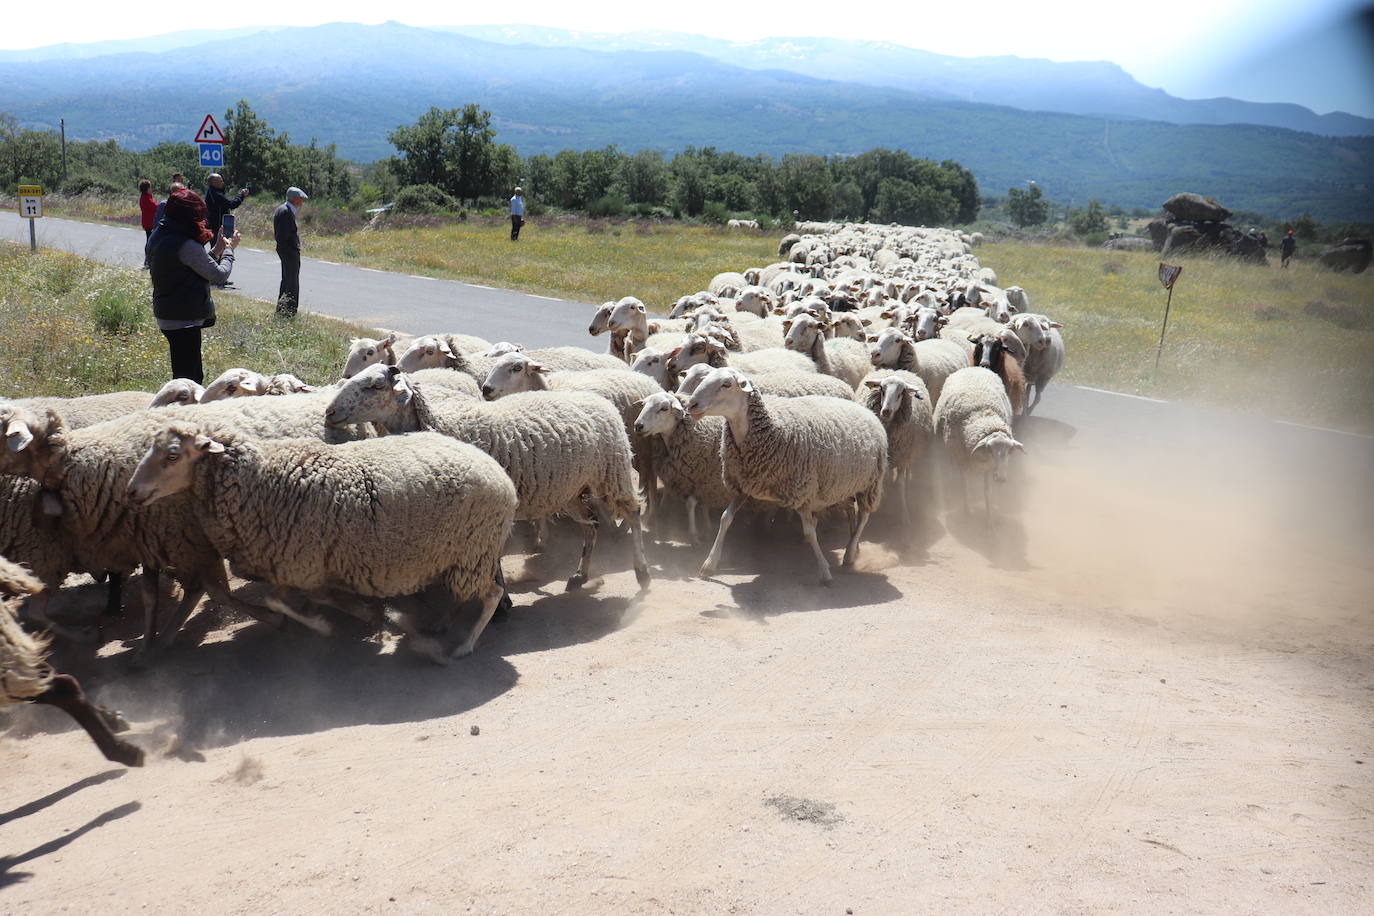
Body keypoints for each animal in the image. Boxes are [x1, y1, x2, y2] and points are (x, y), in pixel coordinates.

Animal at [681, 368, 884, 587]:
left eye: (726, 384)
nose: (691, 405)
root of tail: (863, 408)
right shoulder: (744, 486)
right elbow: (725, 519)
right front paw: (709, 565)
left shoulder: (802, 491)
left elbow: (809, 532)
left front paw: (824, 571)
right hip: (841, 485)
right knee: (850, 510)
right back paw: (853, 546)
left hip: (871, 483)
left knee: (863, 516)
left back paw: (849, 554)